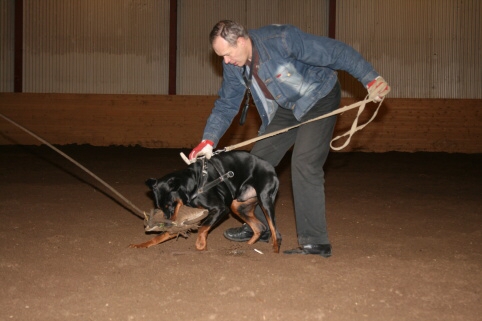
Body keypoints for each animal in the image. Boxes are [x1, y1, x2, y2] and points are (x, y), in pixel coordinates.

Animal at [129, 150, 282, 252]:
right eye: (159, 207)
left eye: (170, 205)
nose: (166, 224)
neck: (193, 183)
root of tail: (271, 167)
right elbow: (162, 235)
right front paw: (141, 245)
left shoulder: (220, 209)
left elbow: (203, 227)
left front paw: (201, 244)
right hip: (238, 206)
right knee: (260, 227)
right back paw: (247, 246)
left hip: (265, 199)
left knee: (274, 230)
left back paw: (274, 251)